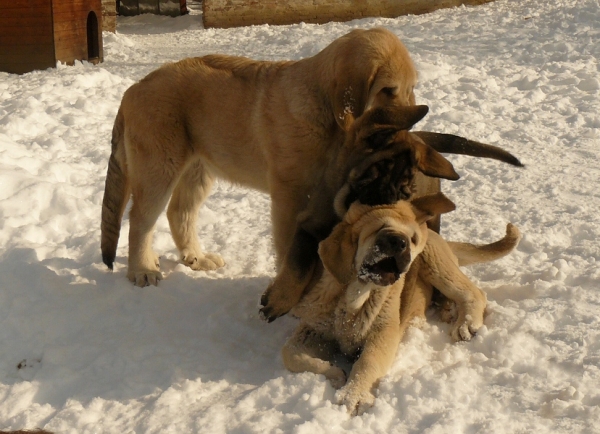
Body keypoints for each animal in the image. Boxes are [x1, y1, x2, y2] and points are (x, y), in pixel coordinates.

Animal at [282, 195, 520, 416]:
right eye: (379, 228)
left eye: (412, 239)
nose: (399, 242)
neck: (354, 299)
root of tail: (440, 237)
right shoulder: (314, 328)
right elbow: (290, 354)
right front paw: (333, 372)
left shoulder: (383, 331)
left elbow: (367, 362)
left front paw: (354, 394)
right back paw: (447, 309)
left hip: (434, 263)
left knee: (473, 292)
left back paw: (465, 322)